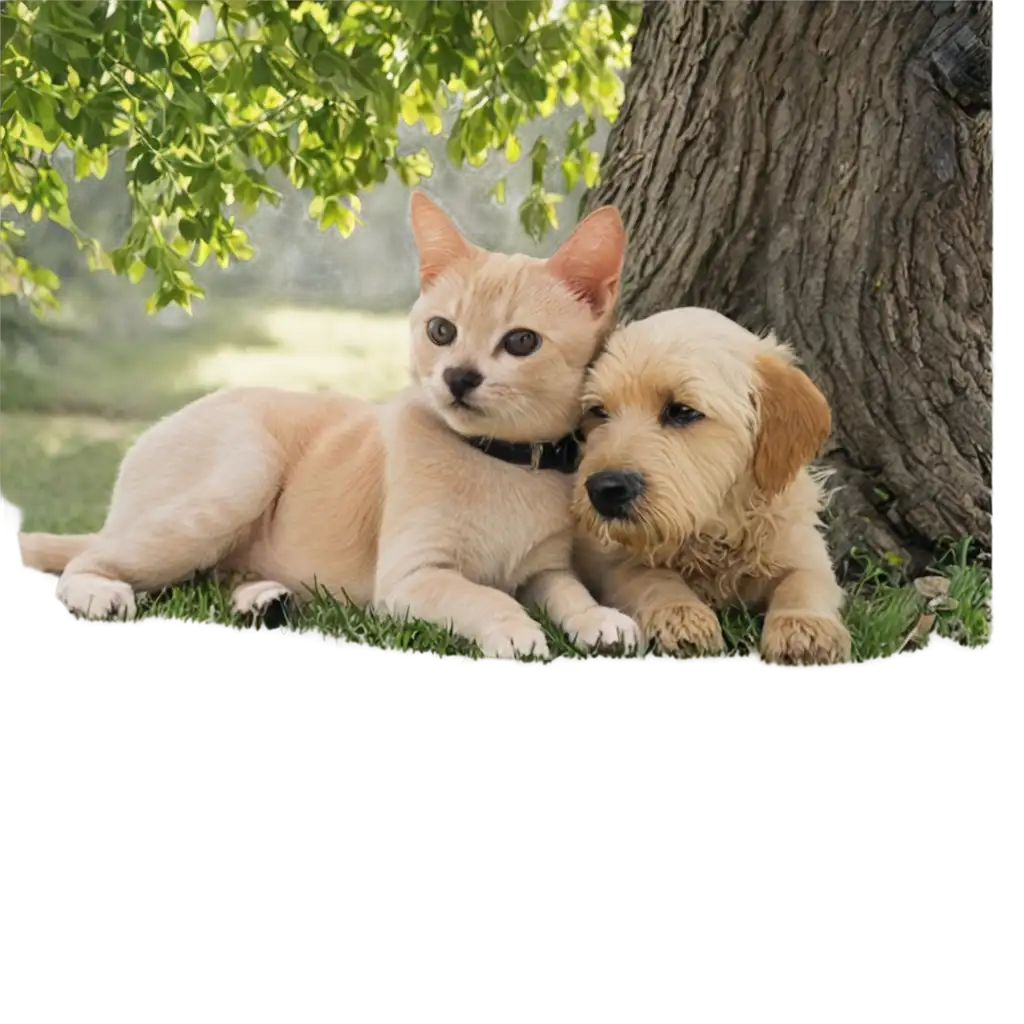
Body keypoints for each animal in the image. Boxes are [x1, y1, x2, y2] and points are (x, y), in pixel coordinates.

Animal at [18, 191, 638, 659]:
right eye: (441, 331)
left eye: (522, 342)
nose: (458, 376)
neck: (497, 459)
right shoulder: (412, 578)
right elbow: (489, 597)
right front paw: (516, 631)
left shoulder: (545, 570)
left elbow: (570, 593)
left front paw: (599, 619)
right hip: (240, 476)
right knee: (89, 560)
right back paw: (96, 594)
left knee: (208, 574)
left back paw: (261, 599)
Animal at [573, 305, 851, 663]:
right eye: (599, 411)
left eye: (681, 411)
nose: (604, 489)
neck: (713, 528)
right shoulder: (614, 559)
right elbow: (652, 577)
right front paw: (681, 615)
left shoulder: (802, 545)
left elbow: (804, 582)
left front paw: (805, 628)